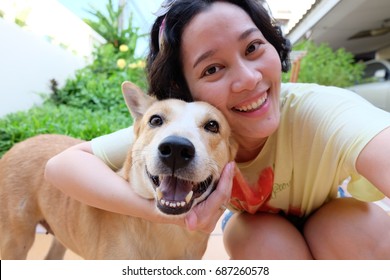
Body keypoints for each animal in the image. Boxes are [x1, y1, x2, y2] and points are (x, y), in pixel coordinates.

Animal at [0, 81, 238, 260]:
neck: (168, 231)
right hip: (16, 242)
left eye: (212, 125)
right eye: (156, 120)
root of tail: (19, 144)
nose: (176, 149)